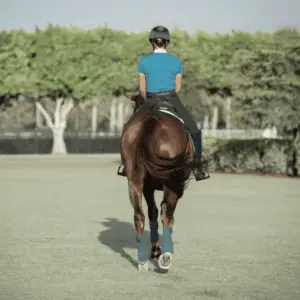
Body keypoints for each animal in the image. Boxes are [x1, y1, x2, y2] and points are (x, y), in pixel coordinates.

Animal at [119, 94, 197, 272]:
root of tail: (152, 119)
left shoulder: (147, 187)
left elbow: (151, 212)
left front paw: (154, 249)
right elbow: (164, 214)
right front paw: (160, 252)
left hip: (134, 180)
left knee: (139, 215)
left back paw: (142, 260)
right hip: (172, 182)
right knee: (166, 212)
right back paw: (166, 257)